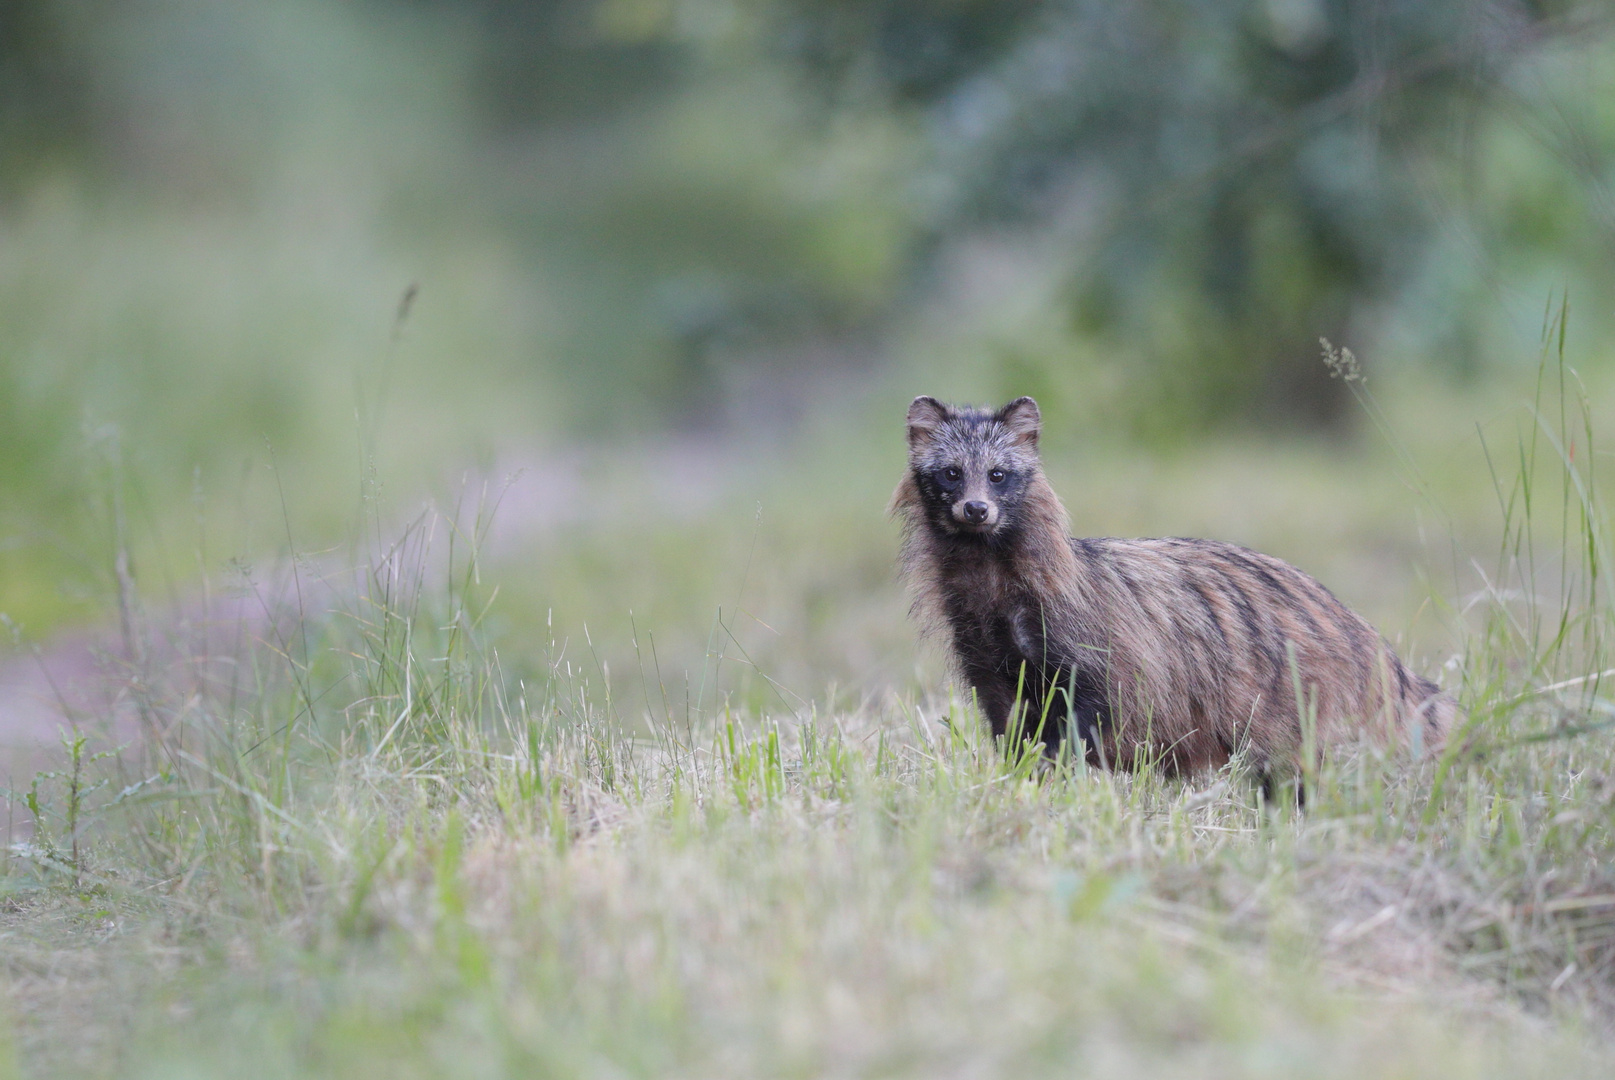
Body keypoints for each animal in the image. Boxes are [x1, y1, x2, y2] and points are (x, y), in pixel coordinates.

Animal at [891, 395, 1459, 774]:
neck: (992, 589)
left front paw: (1061, 779)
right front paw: (1024, 780)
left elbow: (1084, 724)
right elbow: (1012, 732)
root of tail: (1360, 632)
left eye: (999, 474)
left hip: (1286, 695)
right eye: (949, 473)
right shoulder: (988, 666)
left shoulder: (1094, 650)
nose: (976, 509)